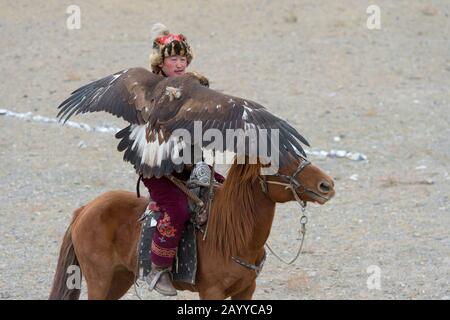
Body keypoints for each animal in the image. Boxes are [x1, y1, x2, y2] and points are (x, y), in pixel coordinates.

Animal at [50, 156, 334, 298]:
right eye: (277, 162)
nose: (326, 185)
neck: (232, 233)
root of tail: (85, 209)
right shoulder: (212, 293)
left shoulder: (246, 289)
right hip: (99, 278)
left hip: (120, 279)